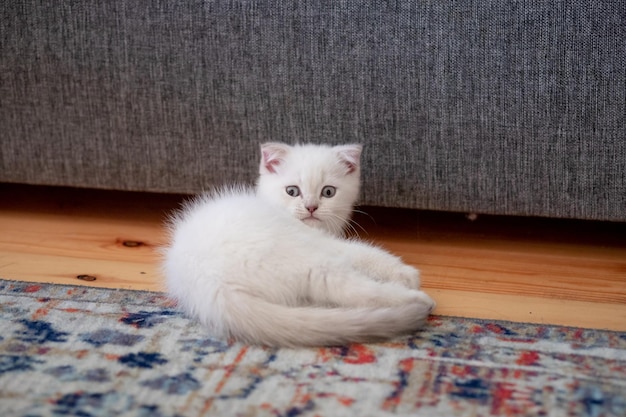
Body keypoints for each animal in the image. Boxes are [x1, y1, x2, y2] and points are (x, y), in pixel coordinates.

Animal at [162, 142, 434, 344]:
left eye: (328, 192)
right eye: (292, 191)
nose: (311, 207)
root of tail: (211, 286)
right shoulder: (323, 242)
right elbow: (361, 253)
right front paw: (404, 273)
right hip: (300, 255)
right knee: (352, 288)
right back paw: (417, 299)